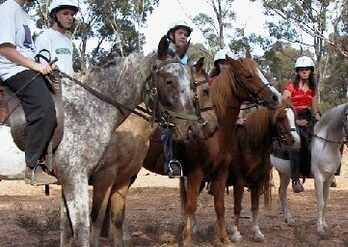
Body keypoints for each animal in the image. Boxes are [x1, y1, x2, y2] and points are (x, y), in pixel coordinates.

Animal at [143, 51, 278, 245]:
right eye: (248, 75)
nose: (275, 97)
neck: (214, 133)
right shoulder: (195, 173)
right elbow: (191, 206)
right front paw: (187, 239)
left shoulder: (220, 173)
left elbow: (220, 207)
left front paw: (224, 239)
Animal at [228, 99, 296, 242]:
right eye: (281, 117)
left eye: (294, 116)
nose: (294, 140)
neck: (250, 145)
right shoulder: (239, 181)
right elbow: (237, 206)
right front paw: (236, 233)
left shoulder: (257, 182)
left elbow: (255, 206)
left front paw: (257, 232)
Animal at [312, 102, 346, 235]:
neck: (327, 147)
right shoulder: (318, 177)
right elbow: (320, 202)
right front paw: (320, 229)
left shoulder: (329, 177)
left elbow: (325, 201)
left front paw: (324, 225)